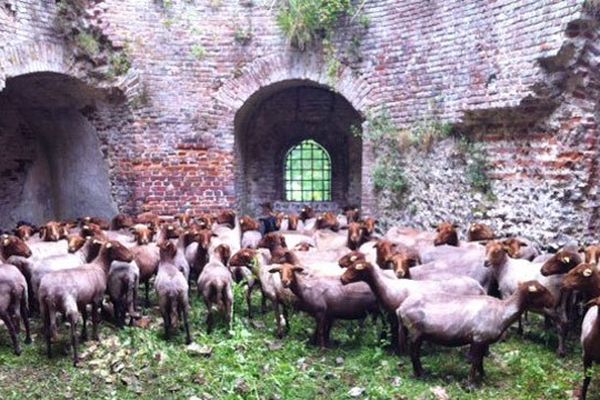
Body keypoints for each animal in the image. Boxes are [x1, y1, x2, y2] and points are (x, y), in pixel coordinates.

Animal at [396, 280, 556, 382]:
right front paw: (471, 383)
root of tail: (401, 308)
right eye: (541, 290)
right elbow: (474, 360)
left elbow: (480, 360)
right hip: (415, 332)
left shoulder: (484, 340)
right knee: (414, 354)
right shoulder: (478, 338)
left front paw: (483, 376)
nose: (554, 301)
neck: (502, 311)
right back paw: (420, 374)